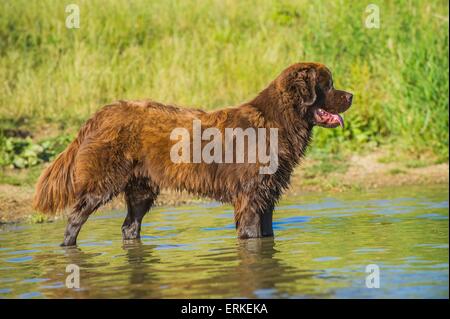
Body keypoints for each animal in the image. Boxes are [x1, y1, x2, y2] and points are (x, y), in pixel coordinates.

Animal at [34, 63, 352, 248]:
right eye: (327, 84)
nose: (351, 96)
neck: (277, 122)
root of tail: (101, 113)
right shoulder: (250, 197)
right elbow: (251, 235)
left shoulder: (267, 195)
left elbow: (267, 234)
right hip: (102, 183)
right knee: (75, 217)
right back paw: (68, 248)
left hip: (141, 189)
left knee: (129, 225)